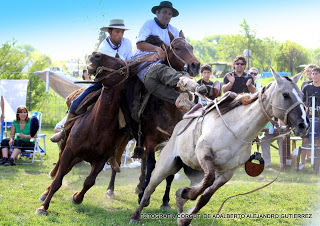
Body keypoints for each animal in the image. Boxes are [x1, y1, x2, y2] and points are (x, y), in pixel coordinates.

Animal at [36, 52, 132, 215]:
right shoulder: (70, 150)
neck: (97, 125)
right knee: (60, 167)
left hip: (79, 157)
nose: (96, 55)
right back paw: (45, 191)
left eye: (120, 65)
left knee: (67, 169)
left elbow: (89, 181)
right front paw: (43, 207)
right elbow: (58, 180)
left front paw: (77, 198)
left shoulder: (100, 160)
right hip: (66, 147)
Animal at [130, 69, 310, 225]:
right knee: (150, 187)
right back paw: (136, 215)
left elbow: (205, 197)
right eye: (285, 95)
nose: (304, 124)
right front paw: (184, 193)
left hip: (189, 169)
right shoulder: (204, 152)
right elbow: (208, 179)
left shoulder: (226, 173)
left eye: (302, 95)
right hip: (166, 164)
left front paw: (184, 215)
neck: (237, 129)